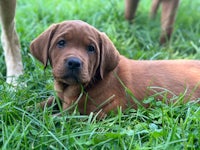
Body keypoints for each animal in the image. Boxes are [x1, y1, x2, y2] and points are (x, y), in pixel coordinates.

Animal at [30, 19, 200, 116]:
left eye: (91, 48)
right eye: (61, 43)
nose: (74, 62)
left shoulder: (96, 113)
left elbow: (59, 118)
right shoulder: (61, 98)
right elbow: (46, 103)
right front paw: (28, 109)